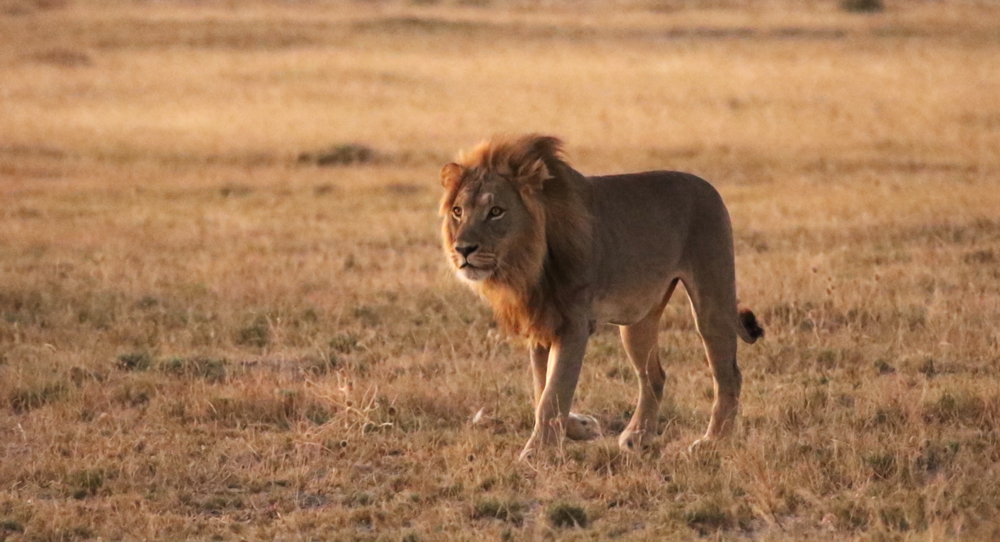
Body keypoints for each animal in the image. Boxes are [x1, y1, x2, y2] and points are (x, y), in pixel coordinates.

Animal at [442, 134, 760, 462]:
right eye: (458, 212)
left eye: (496, 211)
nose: (463, 249)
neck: (526, 264)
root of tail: (707, 185)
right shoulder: (541, 324)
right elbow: (542, 389)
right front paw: (581, 427)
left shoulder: (573, 324)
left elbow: (554, 393)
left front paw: (535, 453)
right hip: (637, 321)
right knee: (654, 375)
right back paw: (638, 435)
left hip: (712, 302)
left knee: (729, 375)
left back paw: (713, 441)